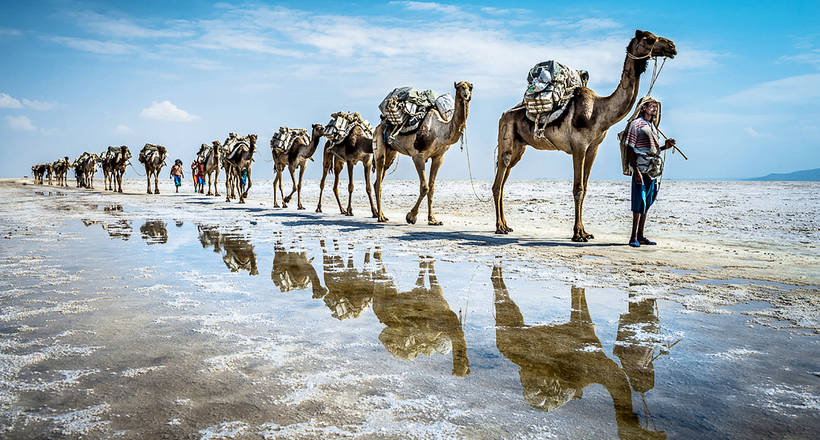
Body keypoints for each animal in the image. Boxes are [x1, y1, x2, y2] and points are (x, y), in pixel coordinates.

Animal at [374, 81, 474, 225]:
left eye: (471, 87)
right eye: (460, 86)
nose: (467, 95)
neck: (439, 131)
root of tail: (380, 124)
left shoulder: (438, 157)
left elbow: (431, 188)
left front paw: (433, 219)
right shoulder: (418, 156)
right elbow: (425, 187)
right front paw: (411, 217)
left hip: (391, 152)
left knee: (379, 179)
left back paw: (380, 214)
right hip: (379, 147)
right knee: (379, 179)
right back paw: (381, 217)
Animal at [490, 29, 676, 242]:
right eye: (650, 39)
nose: (672, 46)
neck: (599, 111)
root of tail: (503, 115)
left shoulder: (593, 148)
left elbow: (585, 188)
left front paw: (585, 231)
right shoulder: (579, 146)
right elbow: (578, 189)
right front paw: (578, 234)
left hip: (519, 148)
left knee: (503, 180)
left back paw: (506, 225)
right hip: (506, 138)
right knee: (498, 182)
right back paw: (499, 227)